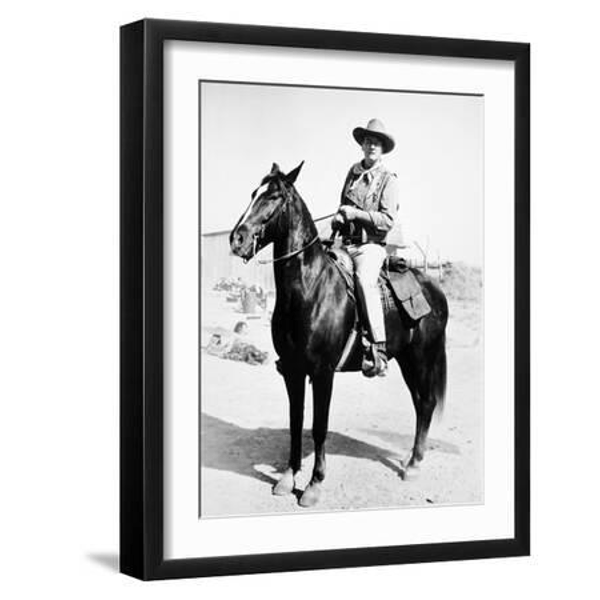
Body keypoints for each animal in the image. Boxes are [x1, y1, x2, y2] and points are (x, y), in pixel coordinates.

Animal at [229, 162, 448, 508]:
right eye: (254, 193)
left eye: (274, 197)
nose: (236, 239)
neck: (310, 288)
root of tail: (435, 289)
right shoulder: (292, 371)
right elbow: (295, 423)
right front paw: (288, 477)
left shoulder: (322, 373)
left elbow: (319, 427)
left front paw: (314, 485)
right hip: (406, 360)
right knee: (418, 403)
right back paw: (412, 459)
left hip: (423, 358)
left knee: (426, 402)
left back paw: (414, 465)